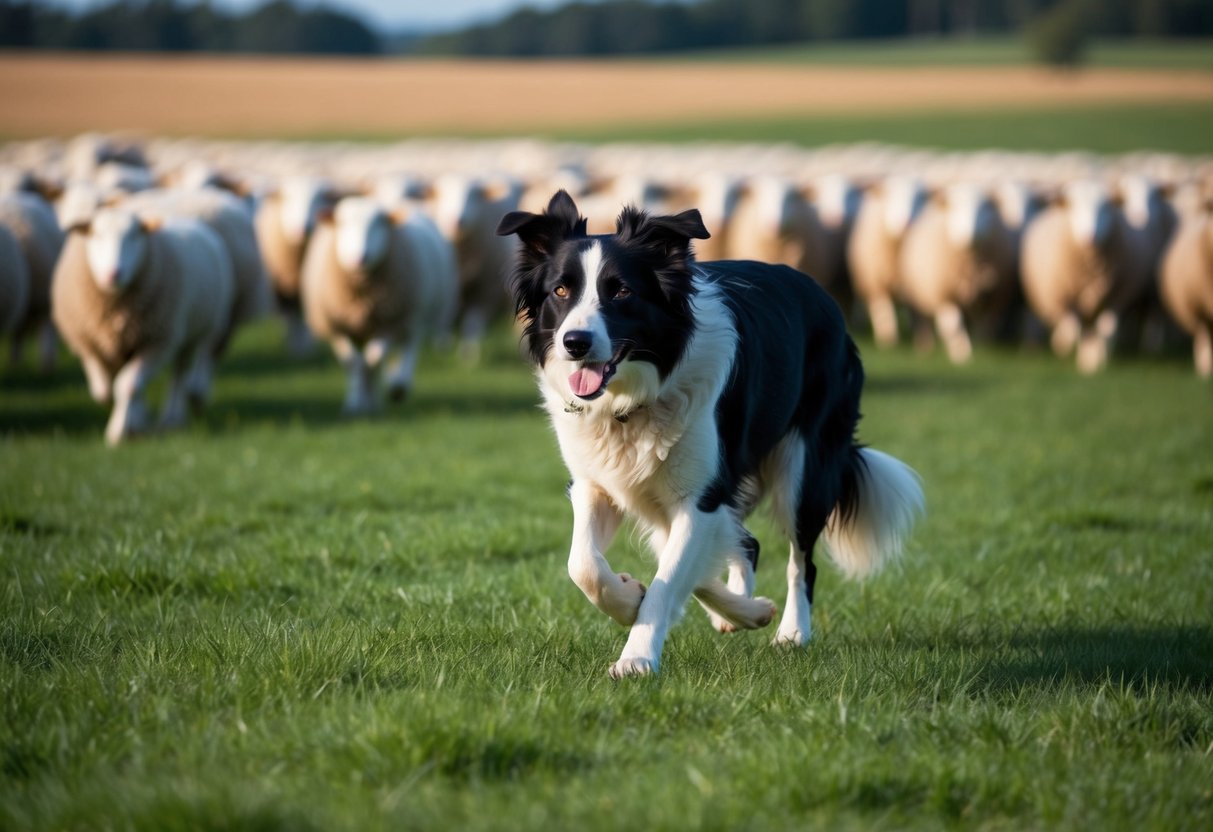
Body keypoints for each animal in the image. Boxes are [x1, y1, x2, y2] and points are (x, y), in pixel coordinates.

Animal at [51, 207, 234, 445]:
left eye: (134, 236)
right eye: (96, 235)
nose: (114, 273)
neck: (116, 310)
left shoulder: (157, 342)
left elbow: (126, 385)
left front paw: (117, 432)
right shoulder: (88, 344)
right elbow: (104, 390)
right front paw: (128, 423)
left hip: (190, 336)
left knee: (178, 374)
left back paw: (171, 418)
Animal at [301, 196, 458, 414]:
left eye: (379, 223)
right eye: (342, 222)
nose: (360, 257)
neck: (361, 294)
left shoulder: (389, 321)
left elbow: (373, 360)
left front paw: (369, 399)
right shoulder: (338, 327)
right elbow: (353, 364)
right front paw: (356, 403)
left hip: (412, 315)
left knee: (409, 345)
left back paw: (398, 387)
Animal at [846, 175, 928, 346]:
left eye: (919, 198)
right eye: (893, 197)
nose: (907, 222)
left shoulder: (914, 285)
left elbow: (917, 313)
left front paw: (922, 342)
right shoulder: (877, 282)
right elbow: (884, 309)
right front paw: (889, 339)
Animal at [897, 181, 1017, 363]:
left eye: (984, 208)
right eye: (957, 207)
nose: (971, 233)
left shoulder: (995, 295)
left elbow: (986, 323)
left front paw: (982, 348)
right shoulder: (945, 295)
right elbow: (954, 325)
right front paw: (961, 353)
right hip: (917, 296)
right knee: (926, 321)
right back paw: (927, 344)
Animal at [1020, 179, 1149, 373]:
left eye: (1105, 207)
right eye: (1076, 207)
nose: (1090, 237)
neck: (1091, 268)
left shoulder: (1115, 299)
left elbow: (1107, 331)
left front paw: (1098, 361)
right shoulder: (1066, 299)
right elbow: (1074, 330)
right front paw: (1068, 348)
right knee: (1078, 328)